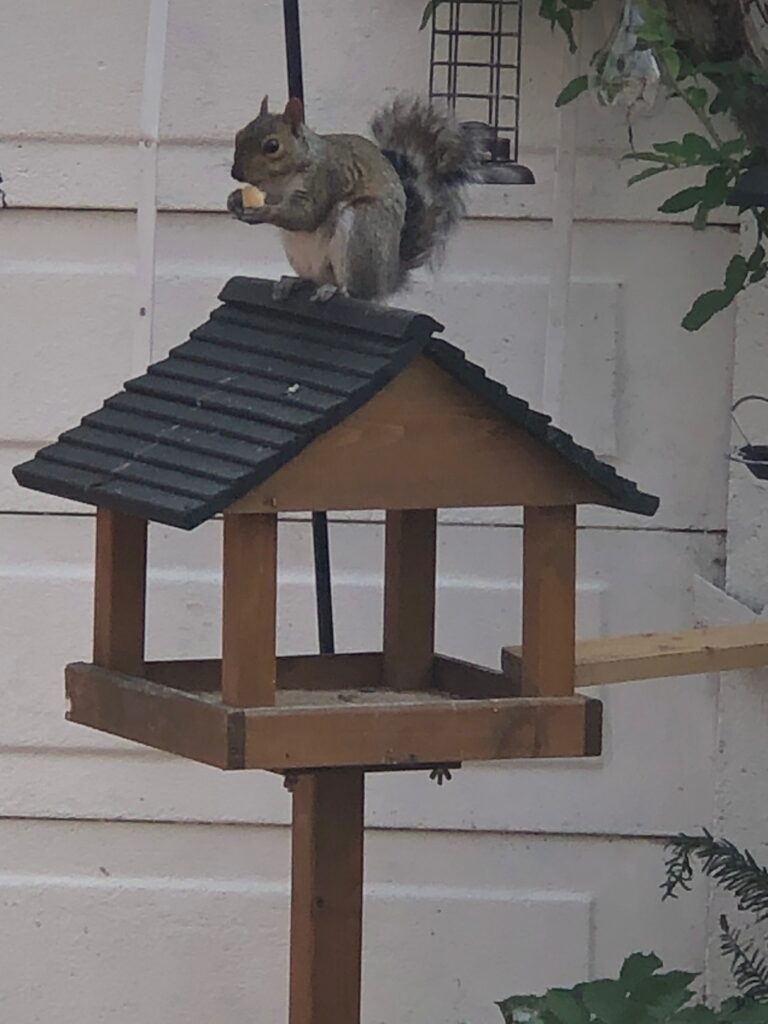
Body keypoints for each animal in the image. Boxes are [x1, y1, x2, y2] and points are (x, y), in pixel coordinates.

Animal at [227, 95, 475, 303]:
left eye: (272, 146)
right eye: (238, 135)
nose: (235, 173)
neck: (282, 179)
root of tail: (388, 279)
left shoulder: (326, 177)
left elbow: (307, 216)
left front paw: (263, 212)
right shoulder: (274, 192)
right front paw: (234, 199)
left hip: (362, 229)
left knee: (358, 291)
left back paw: (338, 290)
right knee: (316, 278)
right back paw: (295, 282)